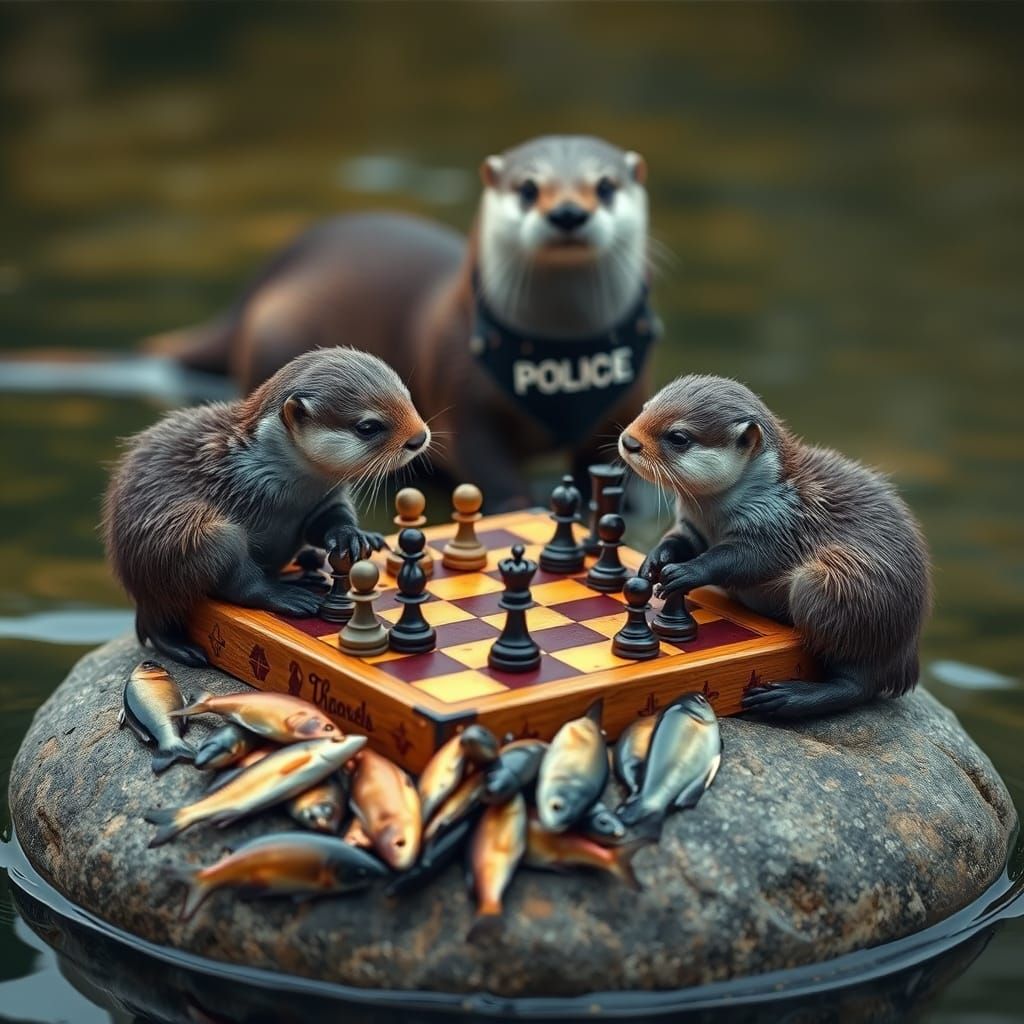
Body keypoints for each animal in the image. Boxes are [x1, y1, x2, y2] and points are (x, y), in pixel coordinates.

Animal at [103, 347, 430, 667]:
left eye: (409, 399)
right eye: (368, 427)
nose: (419, 437)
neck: (258, 472)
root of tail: (136, 588)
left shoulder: (325, 499)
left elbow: (328, 522)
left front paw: (350, 536)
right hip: (187, 538)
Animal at [145, 135, 654, 510]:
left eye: (605, 186)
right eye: (529, 188)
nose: (568, 212)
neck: (560, 353)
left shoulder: (626, 399)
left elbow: (607, 455)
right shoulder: (460, 388)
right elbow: (485, 463)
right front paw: (521, 507)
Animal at [618, 375, 931, 718]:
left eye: (678, 437)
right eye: (644, 408)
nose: (629, 441)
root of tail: (906, 654)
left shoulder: (777, 524)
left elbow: (741, 559)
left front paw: (684, 574)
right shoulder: (692, 526)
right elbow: (679, 542)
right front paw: (654, 562)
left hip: (837, 589)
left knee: (858, 684)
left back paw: (786, 698)